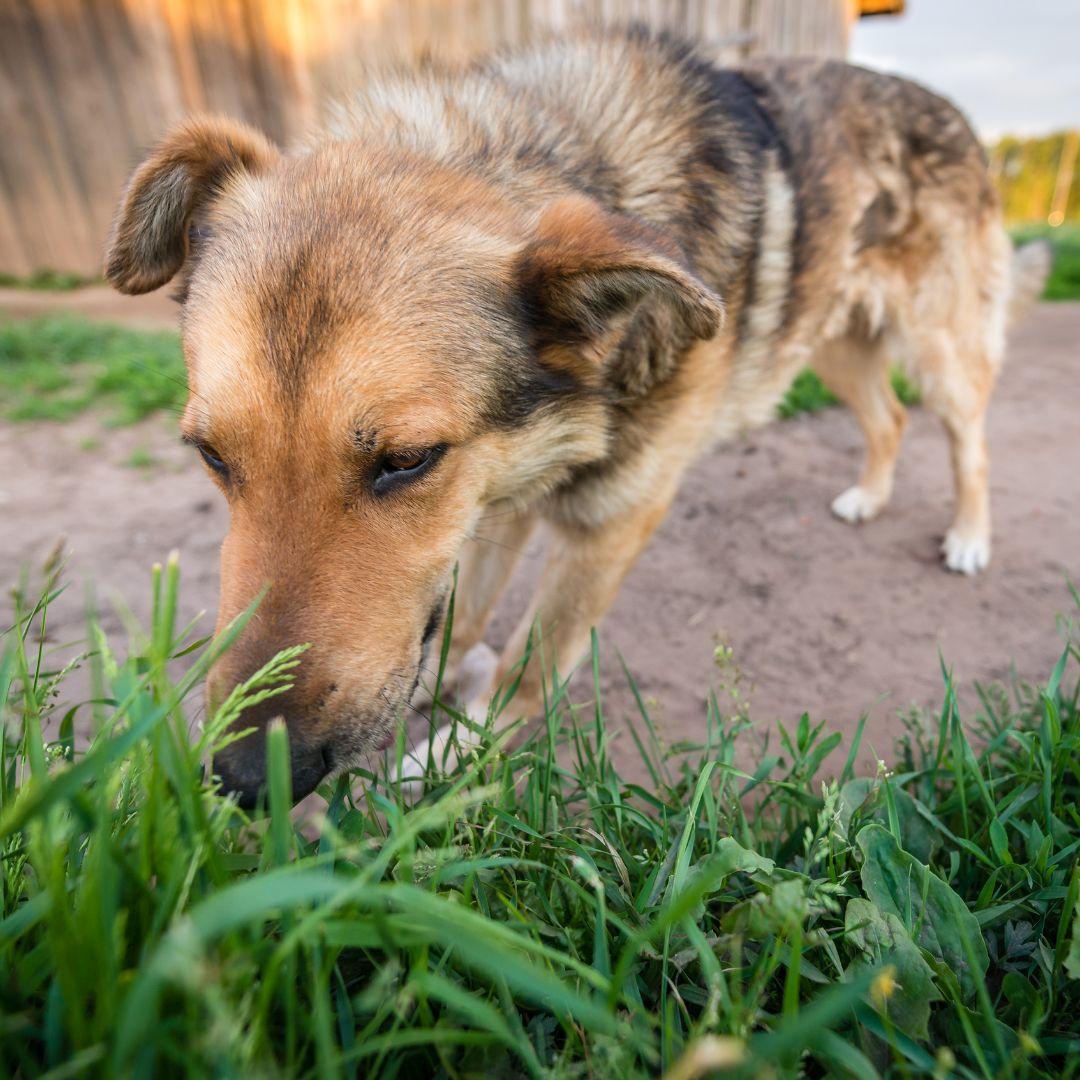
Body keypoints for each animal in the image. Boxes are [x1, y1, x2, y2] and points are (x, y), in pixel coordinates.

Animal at [101, 27, 1045, 803]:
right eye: (211, 456)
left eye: (405, 459)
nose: (244, 778)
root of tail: (945, 104)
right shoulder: (500, 493)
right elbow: (467, 610)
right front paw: (443, 682)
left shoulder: (609, 519)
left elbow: (531, 660)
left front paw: (453, 758)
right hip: (833, 344)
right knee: (888, 419)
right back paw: (871, 495)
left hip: (939, 350)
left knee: (968, 438)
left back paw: (970, 536)